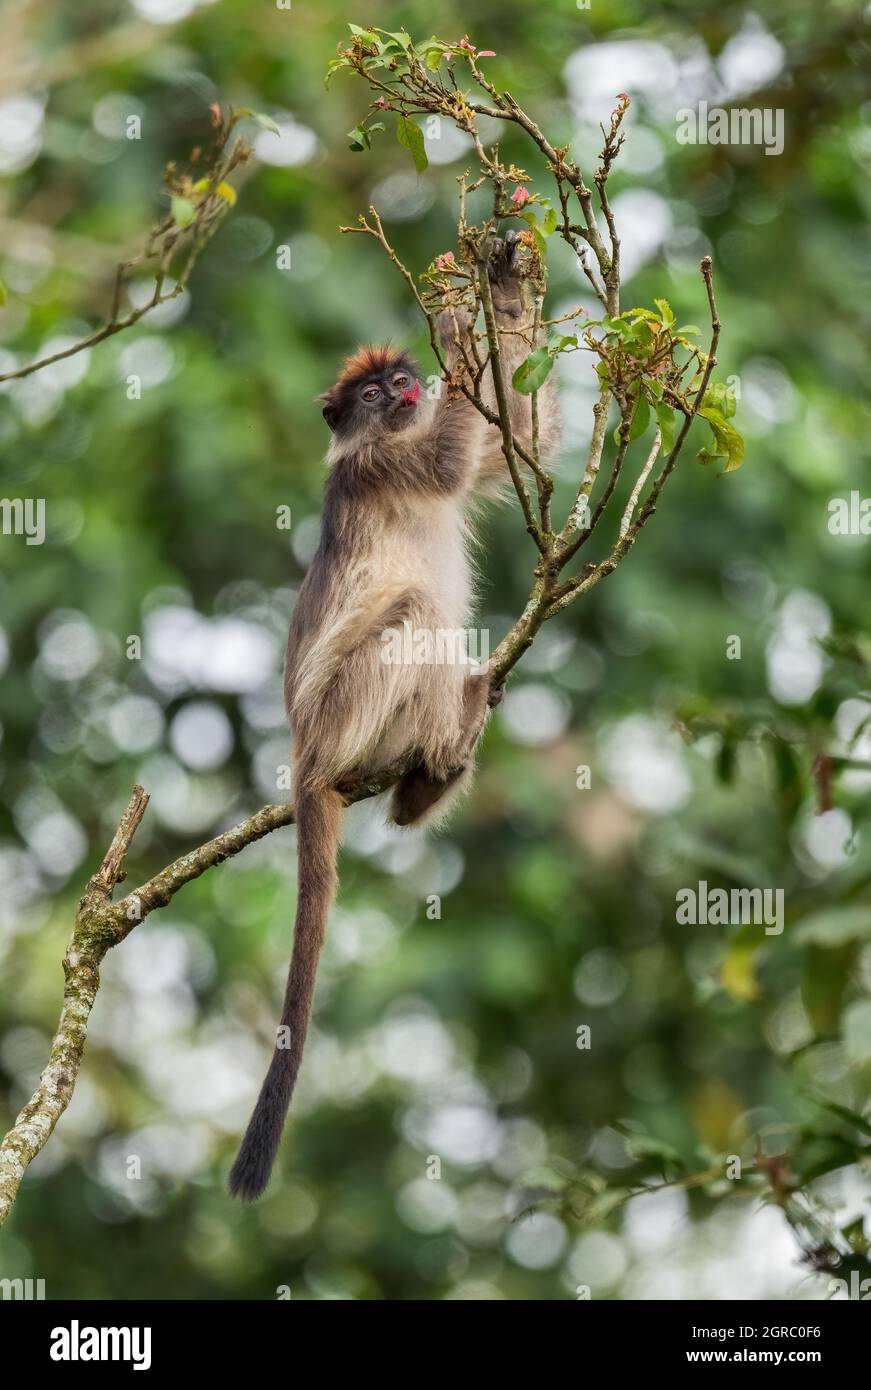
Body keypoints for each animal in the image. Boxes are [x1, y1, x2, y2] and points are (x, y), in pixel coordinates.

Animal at [227, 233, 561, 1200]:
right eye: (374, 396)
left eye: (399, 383)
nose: (409, 392)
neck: (383, 438)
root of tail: (303, 754)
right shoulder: (381, 462)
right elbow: (450, 463)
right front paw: (462, 313)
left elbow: (526, 439)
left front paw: (506, 286)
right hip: (343, 713)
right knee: (415, 613)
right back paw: (445, 739)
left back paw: (425, 786)